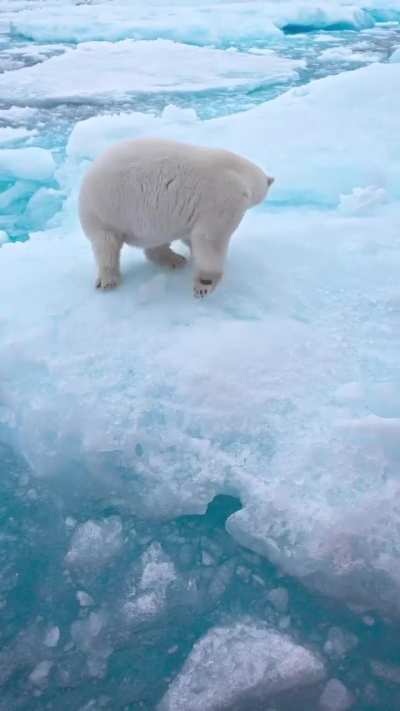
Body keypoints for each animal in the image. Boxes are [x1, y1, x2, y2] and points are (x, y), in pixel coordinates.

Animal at [78, 137, 274, 298]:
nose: (271, 180)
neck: (239, 172)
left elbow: (192, 235)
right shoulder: (224, 199)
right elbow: (210, 239)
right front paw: (205, 283)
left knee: (155, 242)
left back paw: (175, 259)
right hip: (105, 212)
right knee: (106, 245)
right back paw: (108, 279)